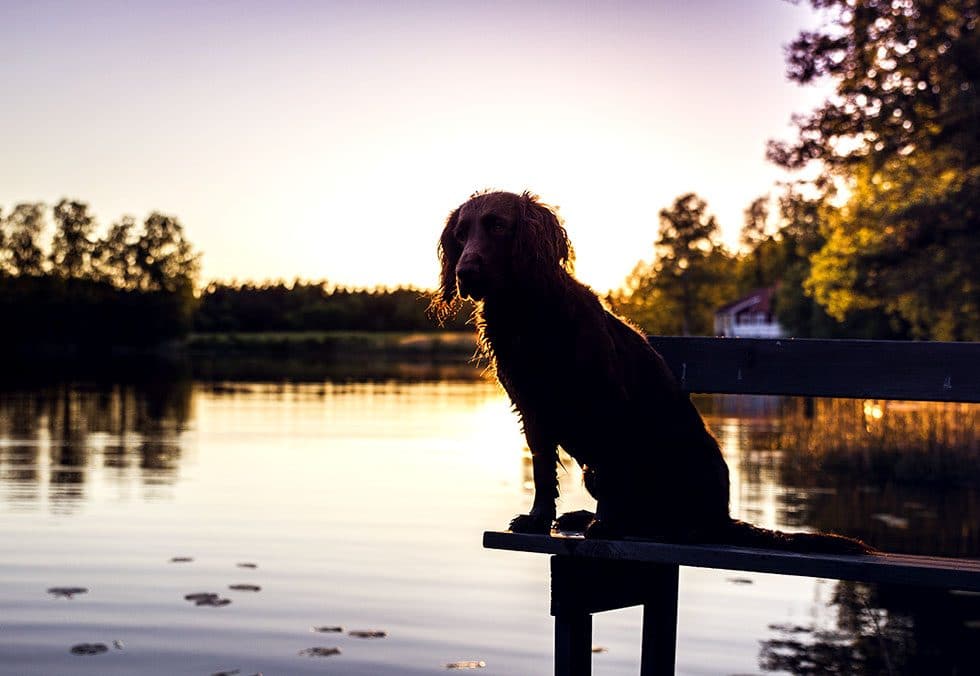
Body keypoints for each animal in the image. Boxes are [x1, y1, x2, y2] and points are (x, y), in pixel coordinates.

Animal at [430, 190, 872, 556]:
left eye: (497, 225)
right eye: (461, 234)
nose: (465, 273)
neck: (528, 314)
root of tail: (723, 518)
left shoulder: (606, 405)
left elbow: (611, 469)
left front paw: (605, 524)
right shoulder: (533, 408)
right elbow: (542, 471)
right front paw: (538, 520)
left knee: (683, 521)